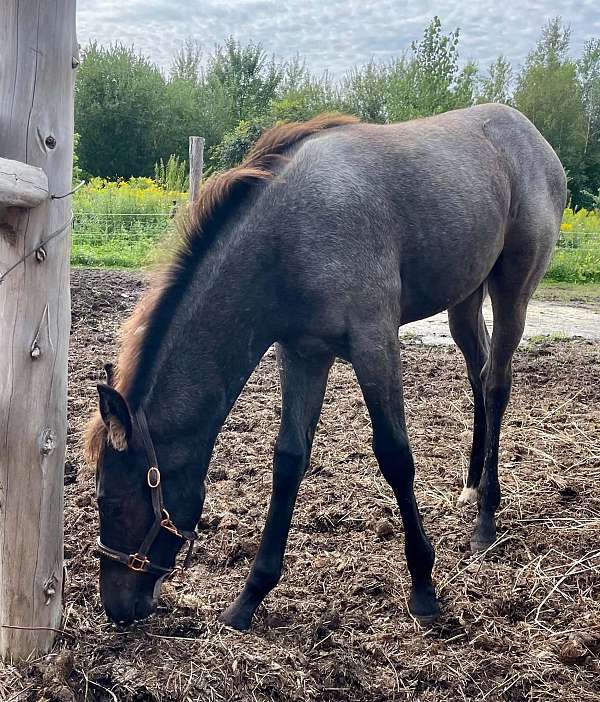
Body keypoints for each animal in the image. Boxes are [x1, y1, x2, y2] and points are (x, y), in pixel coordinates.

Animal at [85, 105, 566, 629]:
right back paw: (471, 487)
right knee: (477, 376)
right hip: (464, 298)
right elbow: (289, 459)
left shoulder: (375, 343)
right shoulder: (302, 353)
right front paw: (249, 598)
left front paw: (423, 587)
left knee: (496, 384)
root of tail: (531, 135)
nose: (116, 608)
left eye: (112, 503)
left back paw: (485, 519)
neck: (289, 238)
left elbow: (396, 456)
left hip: (512, 287)